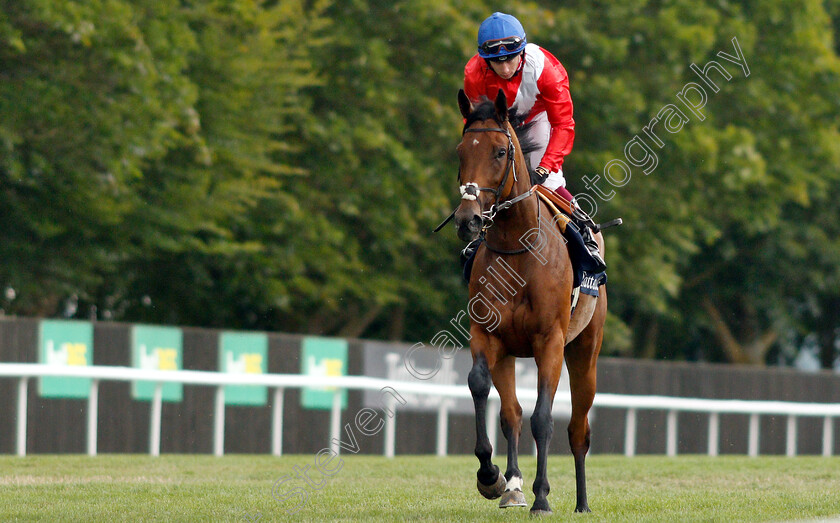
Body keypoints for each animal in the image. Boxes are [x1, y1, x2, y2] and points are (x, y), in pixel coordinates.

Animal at [452, 90, 604, 516]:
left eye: (501, 152)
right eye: (460, 152)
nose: (468, 219)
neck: (518, 248)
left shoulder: (549, 341)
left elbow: (543, 419)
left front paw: (543, 496)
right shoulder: (487, 335)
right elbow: (481, 387)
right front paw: (492, 477)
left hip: (585, 352)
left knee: (578, 428)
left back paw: (582, 503)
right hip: (508, 354)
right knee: (511, 414)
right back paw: (513, 486)